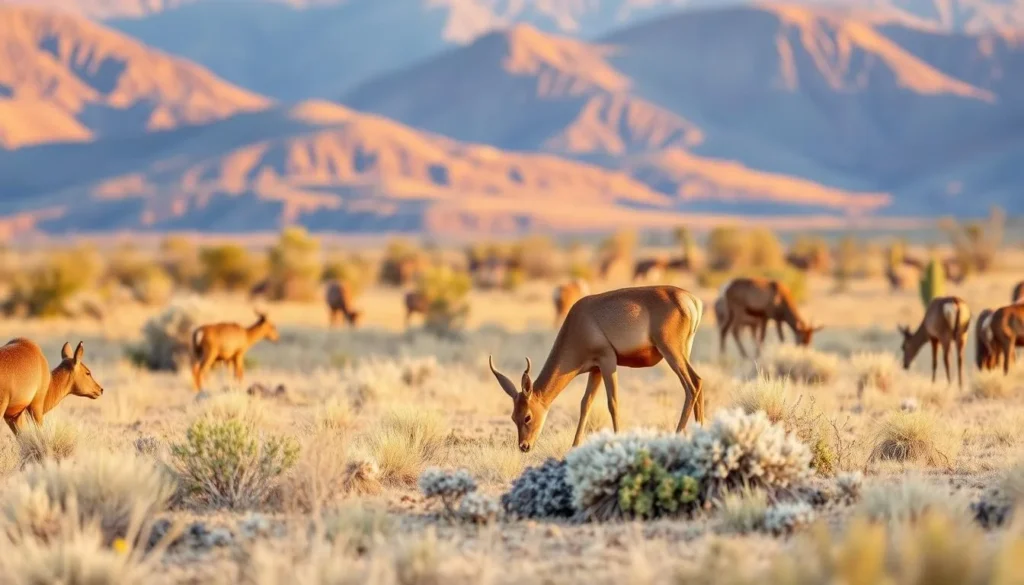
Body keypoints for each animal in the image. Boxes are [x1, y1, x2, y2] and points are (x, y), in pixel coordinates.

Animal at [488, 285, 704, 453]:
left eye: (527, 417)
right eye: (513, 417)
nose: (524, 446)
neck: (580, 322)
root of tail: (691, 300)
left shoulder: (608, 362)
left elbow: (613, 402)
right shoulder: (596, 370)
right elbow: (586, 404)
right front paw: (574, 446)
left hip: (672, 353)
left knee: (692, 385)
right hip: (683, 353)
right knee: (699, 384)